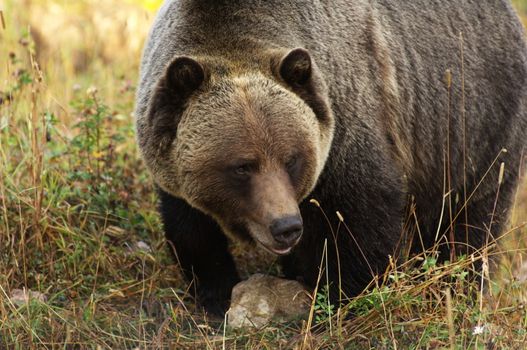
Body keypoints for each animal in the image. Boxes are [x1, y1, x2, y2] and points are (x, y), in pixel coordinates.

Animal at [136, 0, 527, 314]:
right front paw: (216, 293)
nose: (285, 226)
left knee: (468, 223)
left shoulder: (349, 121)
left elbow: (359, 221)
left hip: (475, 127)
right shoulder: (172, 163)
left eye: (291, 158)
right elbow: (191, 227)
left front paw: (339, 295)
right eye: (242, 166)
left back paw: (455, 289)